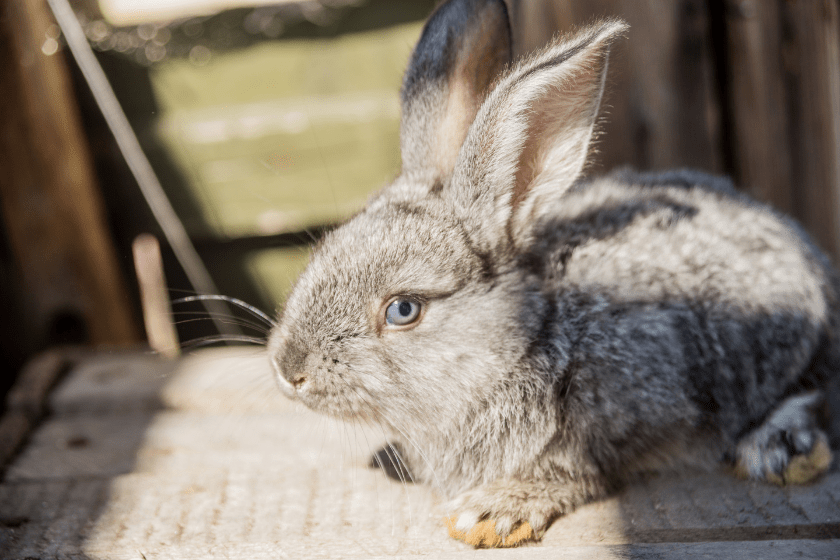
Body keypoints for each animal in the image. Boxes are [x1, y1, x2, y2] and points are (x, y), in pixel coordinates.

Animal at [266, 0, 836, 548]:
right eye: (325, 249)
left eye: (403, 309)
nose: (289, 370)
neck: (526, 345)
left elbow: (582, 470)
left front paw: (491, 513)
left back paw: (779, 449)